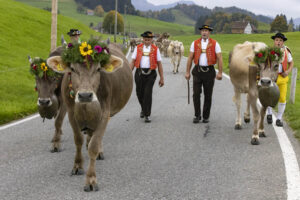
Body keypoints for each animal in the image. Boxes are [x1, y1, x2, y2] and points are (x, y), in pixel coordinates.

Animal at [46, 38, 133, 192]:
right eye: (72, 69)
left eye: (98, 69)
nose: (85, 95)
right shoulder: (71, 113)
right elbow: (78, 140)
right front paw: (77, 165)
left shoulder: (105, 113)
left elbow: (94, 146)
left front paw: (91, 180)